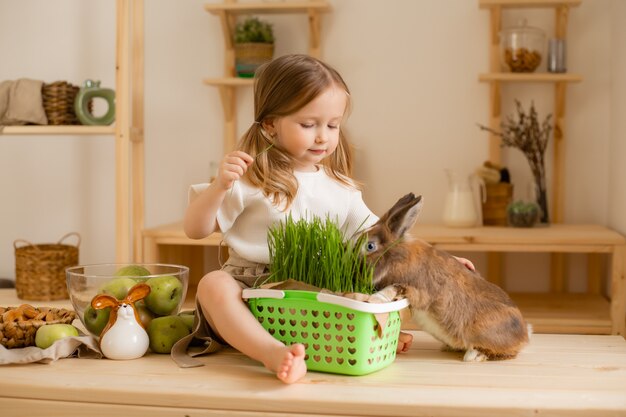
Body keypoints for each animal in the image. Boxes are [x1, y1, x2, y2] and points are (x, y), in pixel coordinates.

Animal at [364, 193, 528, 360]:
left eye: (370, 246)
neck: (399, 256)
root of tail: (525, 334)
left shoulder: (417, 290)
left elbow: (392, 289)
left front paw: (374, 300)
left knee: (505, 353)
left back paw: (473, 355)